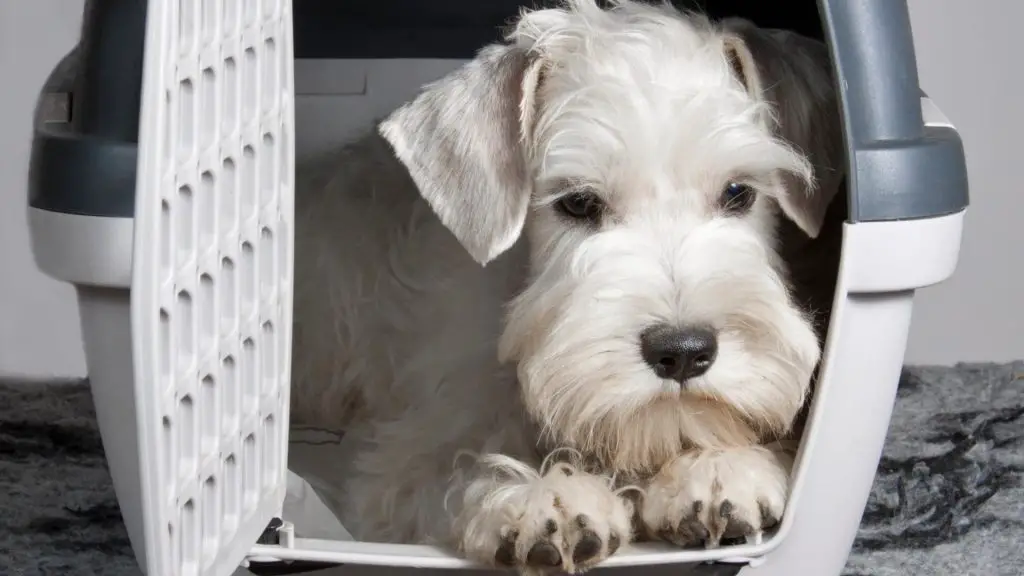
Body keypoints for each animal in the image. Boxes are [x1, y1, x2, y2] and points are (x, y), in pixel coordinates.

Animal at [292, 0, 843, 569]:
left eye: (738, 192)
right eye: (577, 202)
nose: (684, 352)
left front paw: (717, 470)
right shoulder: (406, 453)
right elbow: (455, 465)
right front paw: (539, 496)